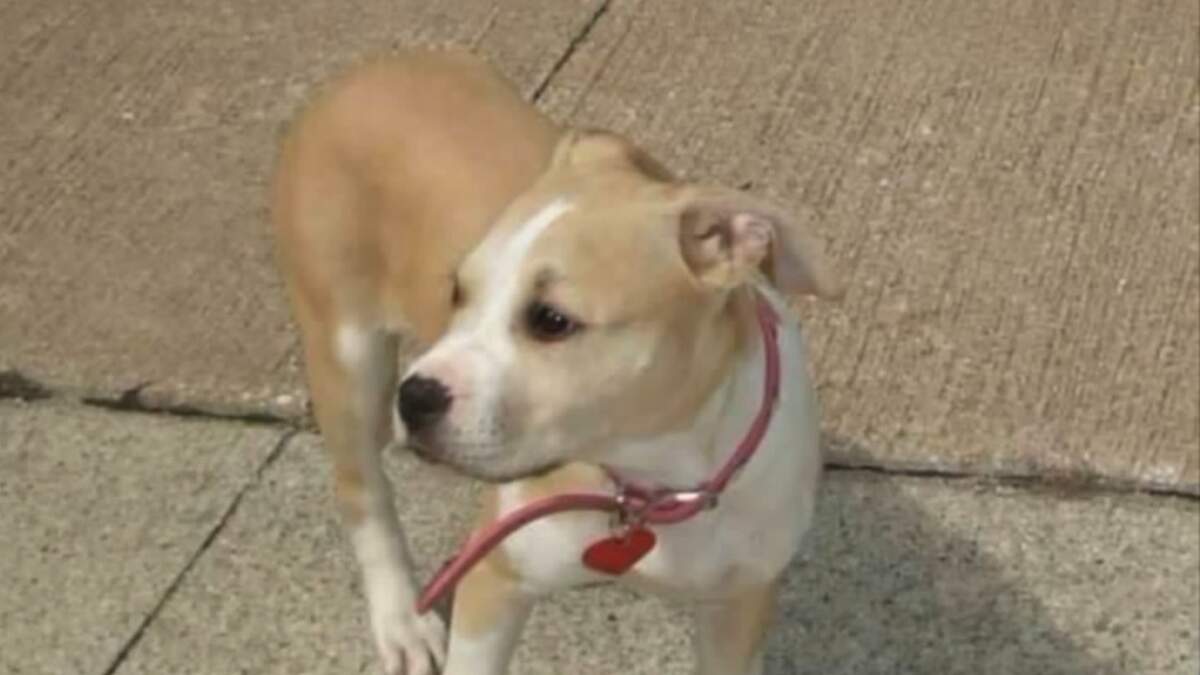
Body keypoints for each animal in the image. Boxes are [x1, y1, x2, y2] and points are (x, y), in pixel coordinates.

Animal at [272, 49, 840, 675]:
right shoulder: (494, 579)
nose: (415, 398)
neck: (655, 478)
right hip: (347, 353)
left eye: (551, 319)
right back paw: (402, 620)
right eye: (458, 292)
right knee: (362, 489)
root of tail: (364, 74)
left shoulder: (738, 608)